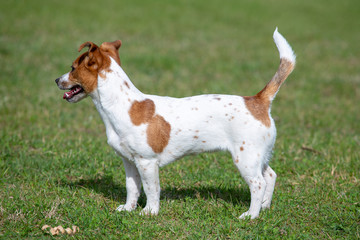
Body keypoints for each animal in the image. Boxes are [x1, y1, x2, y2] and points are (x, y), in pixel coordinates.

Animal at [55, 28, 296, 219]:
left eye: (73, 68)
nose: (56, 80)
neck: (122, 105)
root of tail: (258, 100)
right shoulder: (130, 162)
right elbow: (132, 188)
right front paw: (128, 209)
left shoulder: (147, 162)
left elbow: (151, 190)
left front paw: (149, 212)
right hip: (259, 156)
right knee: (270, 176)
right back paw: (264, 207)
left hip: (245, 159)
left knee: (258, 184)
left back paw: (251, 215)